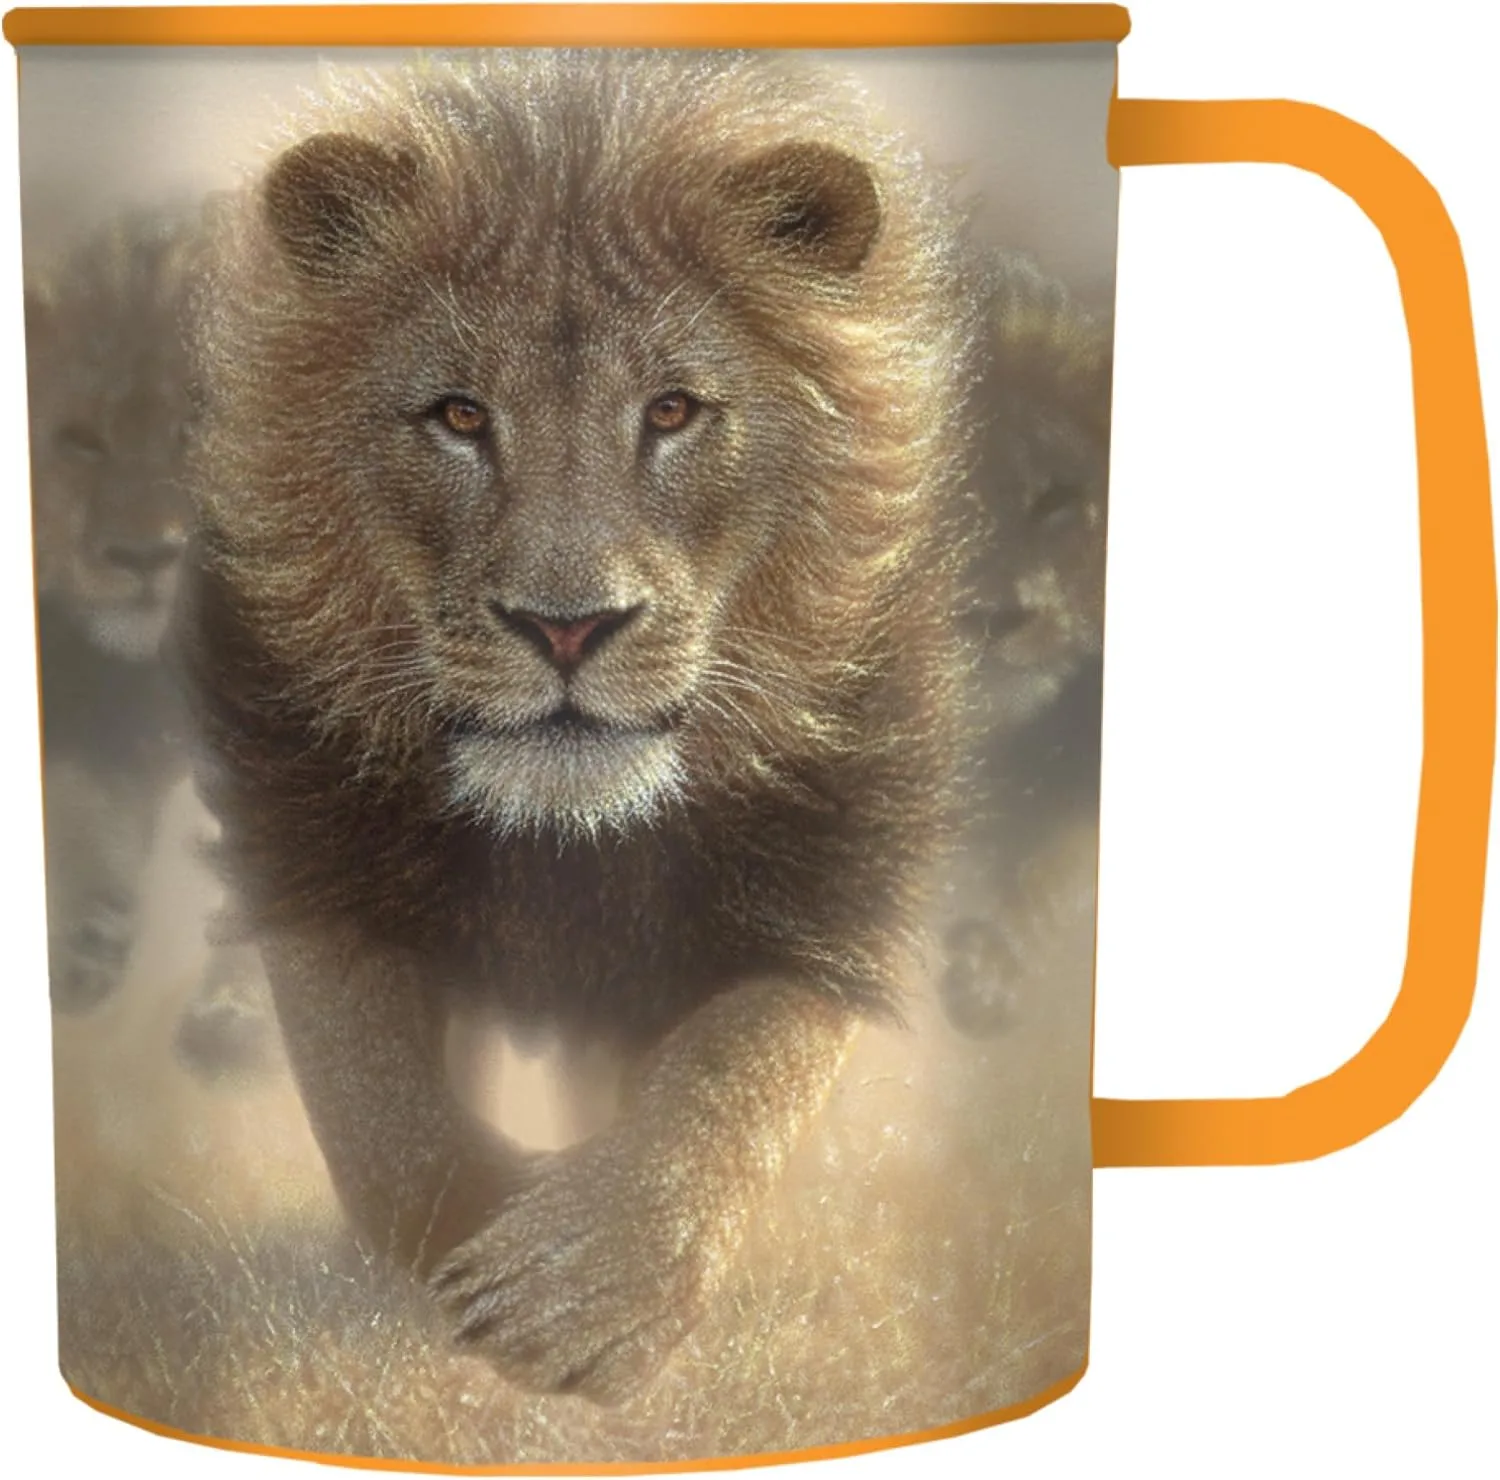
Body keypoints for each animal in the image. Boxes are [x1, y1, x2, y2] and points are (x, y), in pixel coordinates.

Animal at [180, 51, 983, 1404]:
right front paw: (489, 1228)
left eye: (672, 412)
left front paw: (581, 1289)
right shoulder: (306, 831)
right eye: (458, 415)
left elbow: (736, 1075)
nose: (568, 629)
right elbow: (381, 1115)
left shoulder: (833, 875)